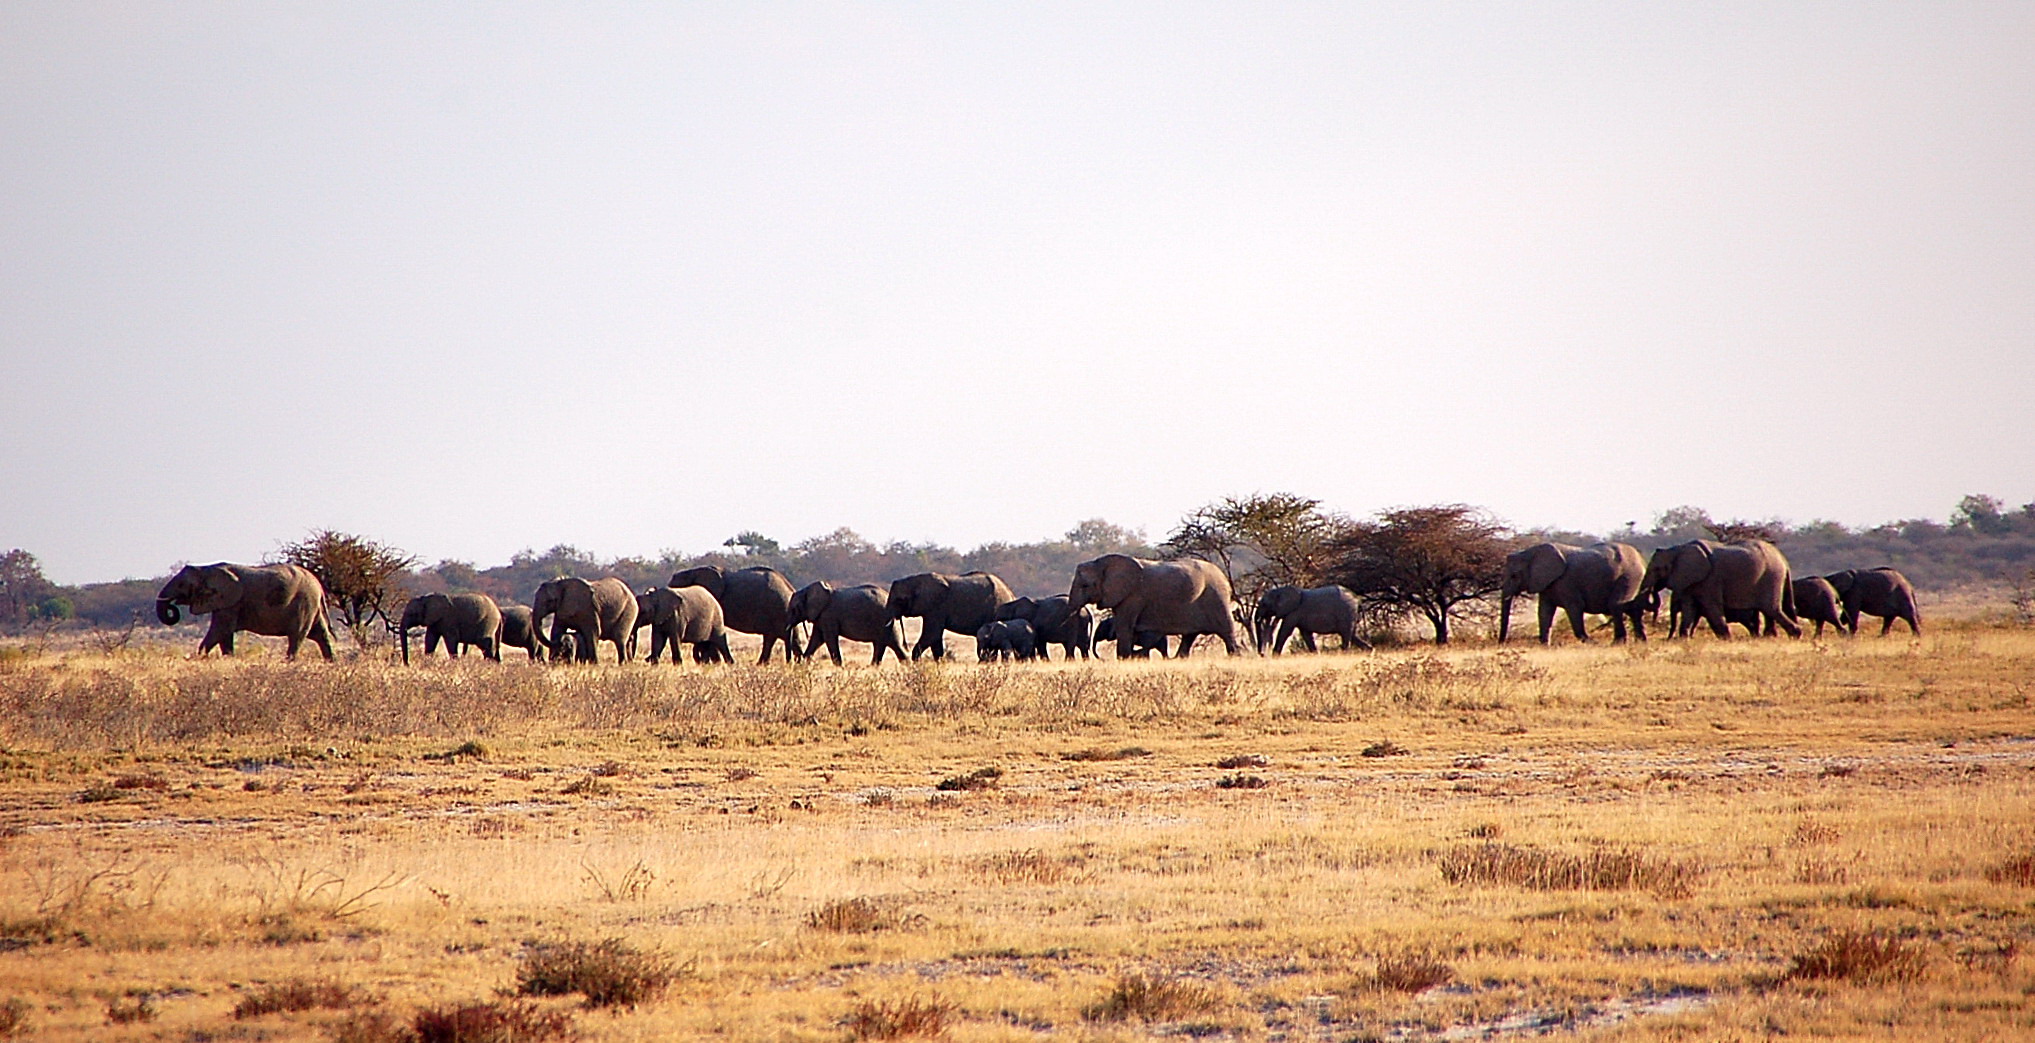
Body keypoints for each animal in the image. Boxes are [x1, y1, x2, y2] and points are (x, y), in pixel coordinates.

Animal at [155, 561, 337, 658]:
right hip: (311, 605)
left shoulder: (230, 602)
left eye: (181, 585)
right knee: (319, 634)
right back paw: (331, 663)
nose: (172, 607)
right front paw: (228, 659)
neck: (204, 569)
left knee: (297, 636)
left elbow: (220, 630)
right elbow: (224, 636)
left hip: (304, 603)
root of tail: (319, 585)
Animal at [1066, 548, 1237, 654]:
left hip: (1216, 598)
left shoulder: (1133, 596)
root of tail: (1224, 577)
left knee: (1227, 633)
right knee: (1189, 637)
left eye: (1085, 585)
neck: (1101, 563)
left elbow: (1124, 628)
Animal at [1245, 581, 1375, 654]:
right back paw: (1370, 650)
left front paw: (1275, 655)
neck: (1281, 590)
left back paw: (1344, 653)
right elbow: (1306, 634)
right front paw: (1315, 654)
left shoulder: (1294, 612)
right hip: (1349, 615)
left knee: (1346, 634)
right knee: (1351, 634)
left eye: (1263, 604)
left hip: (1346, 612)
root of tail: (1357, 600)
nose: (1262, 654)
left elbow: (1285, 631)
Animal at [1497, 540, 1652, 638]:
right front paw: (1545, 646)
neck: (1531, 551)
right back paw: (1640, 642)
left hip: (1630, 576)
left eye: (1514, 576)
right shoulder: (1547, 584)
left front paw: (1590, 643)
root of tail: (1641, 559)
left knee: (1616, 606)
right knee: (1632, 609)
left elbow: (1575, 609)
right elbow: (1544, 612)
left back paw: (1617, 643)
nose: (1502, 643)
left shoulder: (1566, 582)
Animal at [1644, 540, 1807, 638]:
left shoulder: (1710, 580)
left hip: (1772, 577)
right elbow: (1689, 609)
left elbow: (1711, 607)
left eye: (1655, 569)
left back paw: (1795, 635)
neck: (1677, 549)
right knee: (1771, 610)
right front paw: (1684, 639)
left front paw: (1727, 639)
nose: (1653, 589)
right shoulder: (1691, 581)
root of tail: (1784, 561)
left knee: (1770, 608)